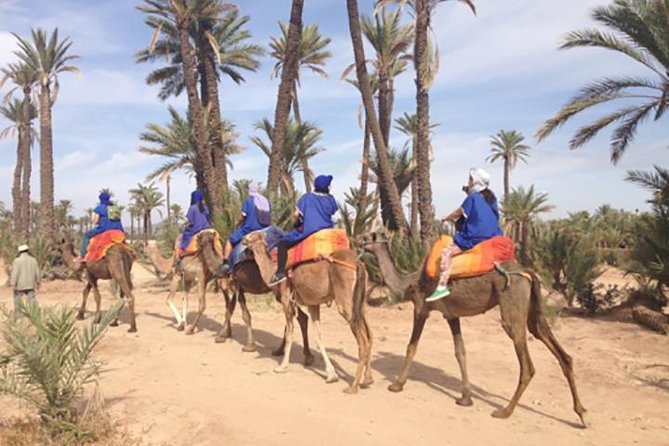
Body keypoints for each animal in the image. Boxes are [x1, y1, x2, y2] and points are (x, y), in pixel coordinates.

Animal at [244, 232, 374, 392]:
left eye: (252, 235)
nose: (242, 239)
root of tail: (358, 263)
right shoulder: (313, 304)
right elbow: (318, 337)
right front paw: (331, 374)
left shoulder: (286, 300)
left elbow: (290, 333)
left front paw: (282, 366)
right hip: (360, 301)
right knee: (369, 336)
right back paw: (368, 379)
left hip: (345, 299)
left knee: (362, 340)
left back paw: (353, 387)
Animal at [360, 232, 584, 426]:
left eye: (369, 236)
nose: (357, 239)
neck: (410, 282)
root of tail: (527, 272)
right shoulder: (451, 314)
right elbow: (460, 351)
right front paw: (465, 398)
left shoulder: (421, 308)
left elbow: (411, 347)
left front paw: (396, 385)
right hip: (532, 308)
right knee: (554, 346)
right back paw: (581, 413)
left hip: (512, 301)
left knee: (526, 362)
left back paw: (505, 411)